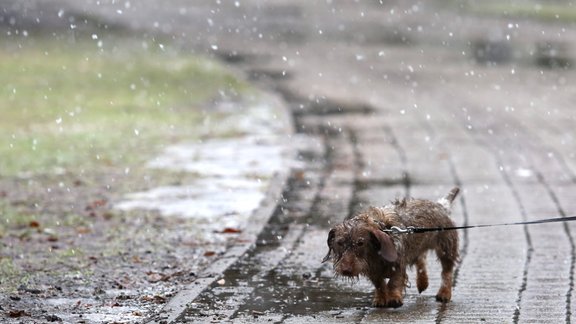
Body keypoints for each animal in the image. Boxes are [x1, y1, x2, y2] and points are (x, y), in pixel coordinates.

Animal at [322, 186, 462, 308]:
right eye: (340, 243)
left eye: (360, 243)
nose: (346, 270)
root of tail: (441, 205)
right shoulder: (372, 271)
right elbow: (379, 284)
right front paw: (380, 299)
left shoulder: (398, 264)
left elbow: (394, 281)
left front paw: (394, 297)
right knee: (421, 260)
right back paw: (422, 282)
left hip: (446, 248)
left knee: (447, 272)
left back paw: (444, 293)